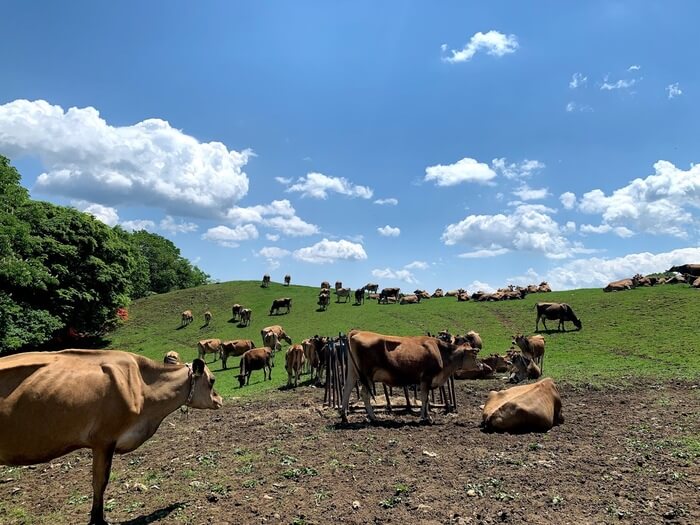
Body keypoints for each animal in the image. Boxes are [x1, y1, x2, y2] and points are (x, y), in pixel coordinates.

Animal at [342, 330, 484, 424]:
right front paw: (424, 417)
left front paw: (426, 416)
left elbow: (426, 399)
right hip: (367, 376)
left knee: (347, 389)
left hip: (353, 372)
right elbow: (425, 398)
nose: (481, 365)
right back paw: (372, 417)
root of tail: (357, 331)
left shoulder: (425, 381)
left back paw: (344, 416)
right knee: (364, 394)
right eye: (474, 355)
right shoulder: (426, 378)